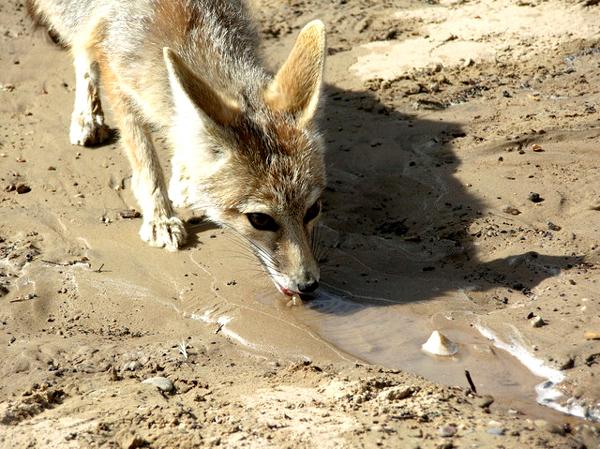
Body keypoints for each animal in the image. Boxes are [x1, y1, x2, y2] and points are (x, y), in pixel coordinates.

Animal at [27, 0, 328, 296]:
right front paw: (160, 217)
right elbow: (144, 157)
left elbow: (184, 130)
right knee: (80, 51)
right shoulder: (116, 74)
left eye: (313, 209)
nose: (308, 285)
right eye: (259, 219)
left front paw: (185, 178)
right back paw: (86, 115)